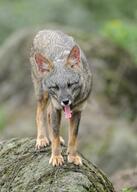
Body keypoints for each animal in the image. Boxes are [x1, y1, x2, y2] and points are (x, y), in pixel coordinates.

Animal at [29, 30, 92, 166]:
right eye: (55, 86)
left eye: (70, 84)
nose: (65, 101)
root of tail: (43, 30)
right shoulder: (56, 108)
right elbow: (55, 136)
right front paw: (56, 157)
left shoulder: (77, 111)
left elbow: (73, 137)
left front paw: (73, 156)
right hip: (44, 96)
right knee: (39, 114)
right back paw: (41, 139)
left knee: (47, 115)